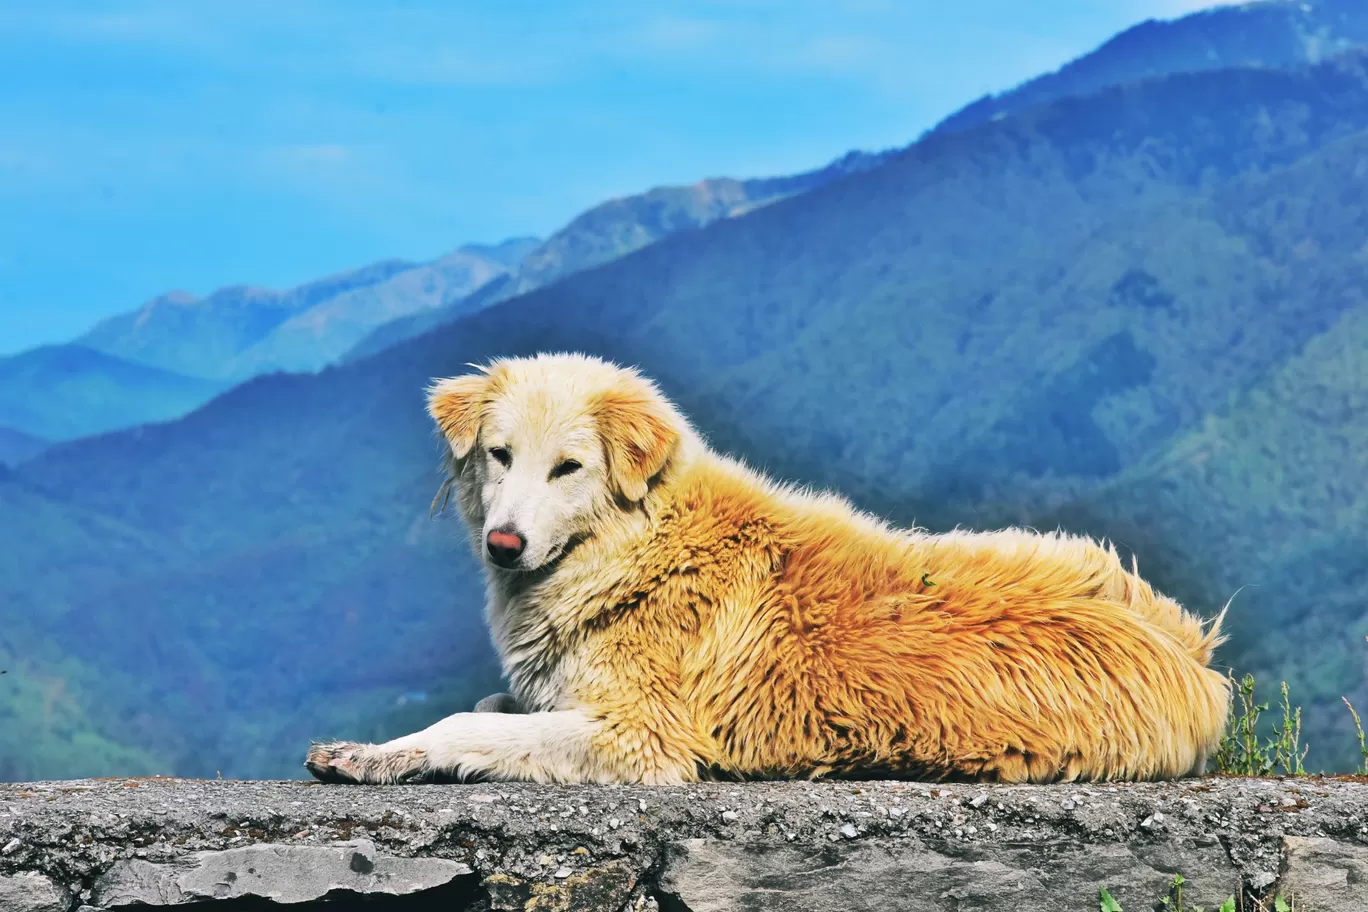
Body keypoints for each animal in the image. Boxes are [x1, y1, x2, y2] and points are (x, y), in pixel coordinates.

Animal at [307, 352, 1231, 787]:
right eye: (500, 456)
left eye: (567, 468)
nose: (504, 544)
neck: (633, 545)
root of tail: (1194, 655)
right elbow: (487, 709)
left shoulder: (640, 734)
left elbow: (469, 727)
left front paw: (373, 756)